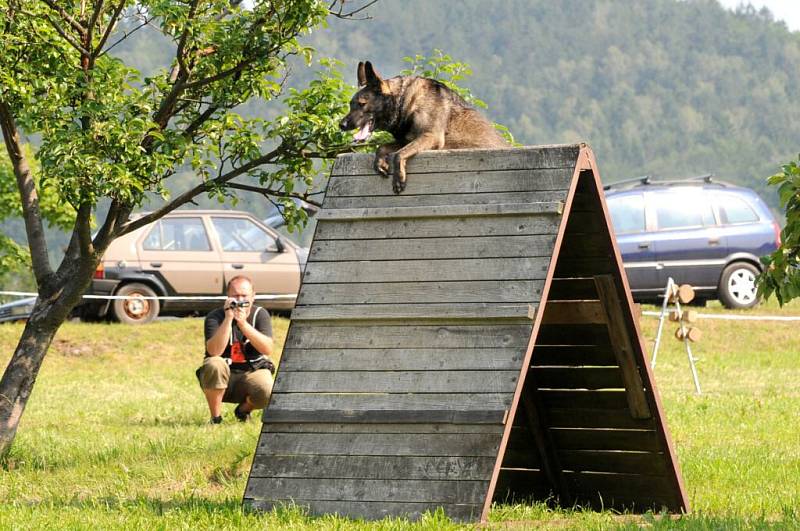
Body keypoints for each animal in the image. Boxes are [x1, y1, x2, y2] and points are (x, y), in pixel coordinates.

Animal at [338, 61, 506, 193]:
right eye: (350, 104)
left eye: (362, 104)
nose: (341, 125)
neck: (404, 101)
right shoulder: (407, 140)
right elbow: (383, 147)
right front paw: (380, 162)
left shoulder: (430, 136)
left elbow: (399, 154)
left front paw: (398, 177)